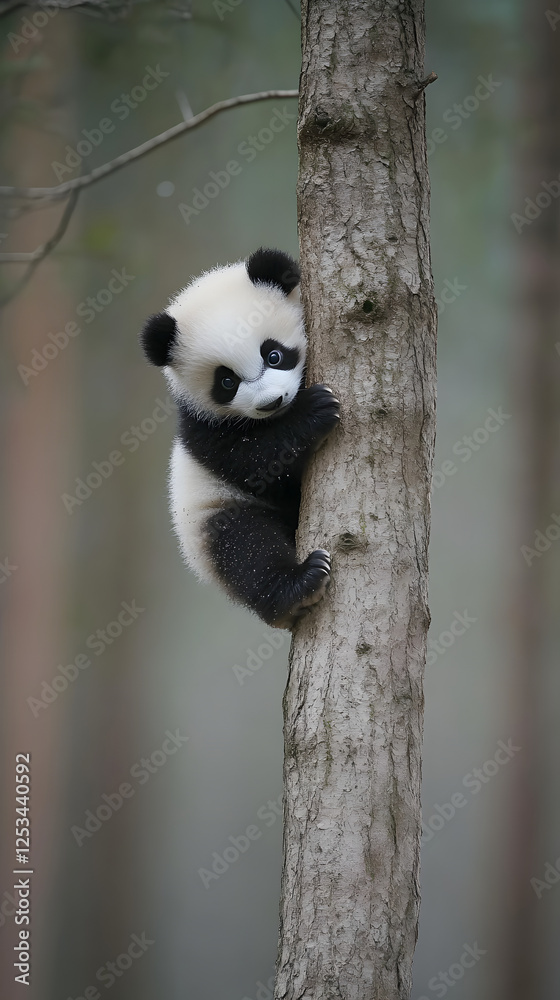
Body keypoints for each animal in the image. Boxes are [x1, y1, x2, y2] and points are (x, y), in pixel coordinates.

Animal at [140, 248, 340, 629]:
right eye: (226, 381)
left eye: (273, 354)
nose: (271, 403)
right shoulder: (202, 427)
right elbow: (252, 461)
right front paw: (315, 411)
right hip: (213, 516)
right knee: (245, 548)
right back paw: (297, 587)